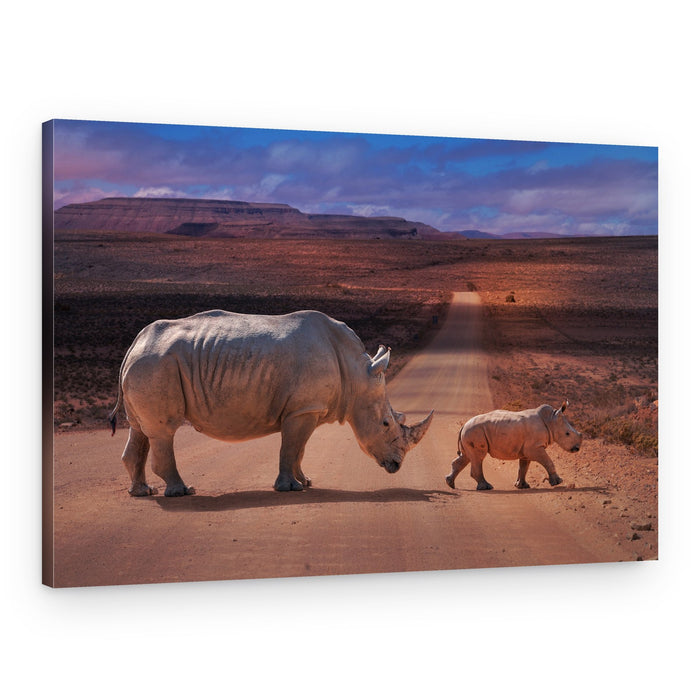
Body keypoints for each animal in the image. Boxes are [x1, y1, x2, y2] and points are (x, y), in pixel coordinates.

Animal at [109, 309, 434, 496]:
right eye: (386, 424)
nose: (396, 465)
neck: (357, 375)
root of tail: (135, 343)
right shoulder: (303, 409)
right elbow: (290, 447)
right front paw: (290, 489)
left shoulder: (307, 408)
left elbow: (299, 449)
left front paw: (306, 482)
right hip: (156, 363)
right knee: (163, 431)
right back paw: (182, 492)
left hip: (147, 363)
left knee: (139, 430)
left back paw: (142, 492)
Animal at [446, 401, 582, 491]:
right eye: (567, 434)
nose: (577, 448)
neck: (551, 420)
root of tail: (464, 425)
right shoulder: (534, 447)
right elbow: (548, 461)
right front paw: (558, 482)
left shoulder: (527, 449)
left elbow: (523, 467)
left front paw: (522, 486)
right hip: (474, 431)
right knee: (478, 457)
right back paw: (486, 487)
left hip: (470, 432)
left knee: (467, 456)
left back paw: (450, 483)